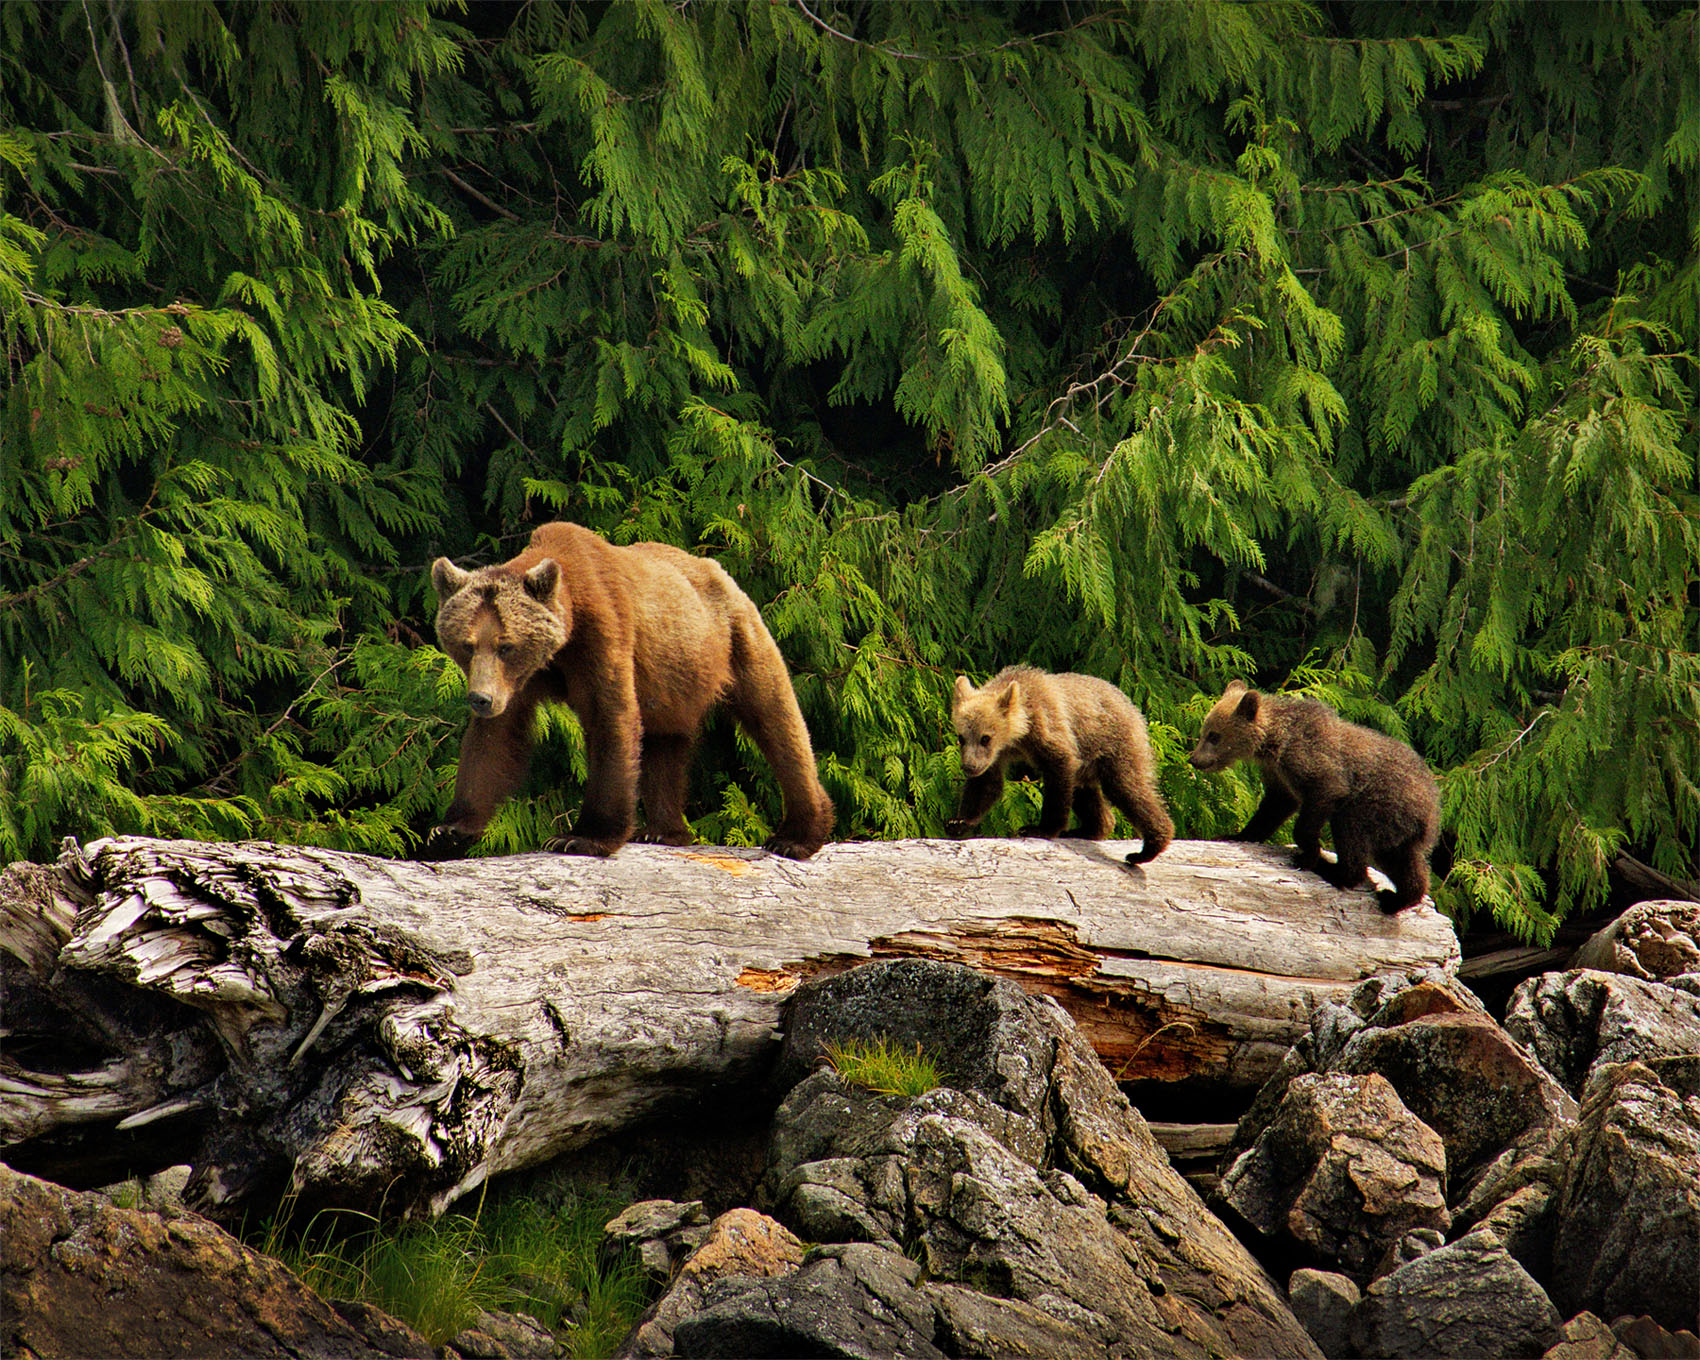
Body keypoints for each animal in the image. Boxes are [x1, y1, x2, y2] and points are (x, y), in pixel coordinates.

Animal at [423, 521, 835, 860]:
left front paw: (581, 837)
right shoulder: (521, 680)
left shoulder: (601, 635)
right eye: (467, 645)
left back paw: (796, 837)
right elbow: (496, 738)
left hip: (735, 638)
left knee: (776, 720)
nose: (480, 699)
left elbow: (609, 718)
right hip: (675, 675)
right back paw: (664, 831)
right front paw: (449, 829)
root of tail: (719, 570)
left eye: (506, 645)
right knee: (665, 744)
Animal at [947, 665, 1173, 863]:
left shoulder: (1048, 730)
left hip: (1115, 743)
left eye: (986, 738)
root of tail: (1134, 708)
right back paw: (1090, 828)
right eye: (961, 737)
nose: (969, 766)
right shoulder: (996, 756)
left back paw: (1147, 849)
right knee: (1087, 794)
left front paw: (1040, 828)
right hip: (1088, 761)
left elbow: (1058, 773)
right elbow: (986, 784)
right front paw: (958, 822)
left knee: (1129, 788)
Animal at [1188, 680, 1441, 912]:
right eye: (1203, 732)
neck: (1275, 742)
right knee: (1404, 861)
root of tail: (1432, 805)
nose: (1194, 759)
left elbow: (1319, 799)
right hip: (1397, 827)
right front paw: (1236, 834)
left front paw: (1308, 855)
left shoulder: (1312, 764)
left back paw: (1334, 870)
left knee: (1351, 833)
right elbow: (1273, 808)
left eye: (1214, 736)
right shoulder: (1279, 776)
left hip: (1374, 804)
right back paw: (1398, 898)